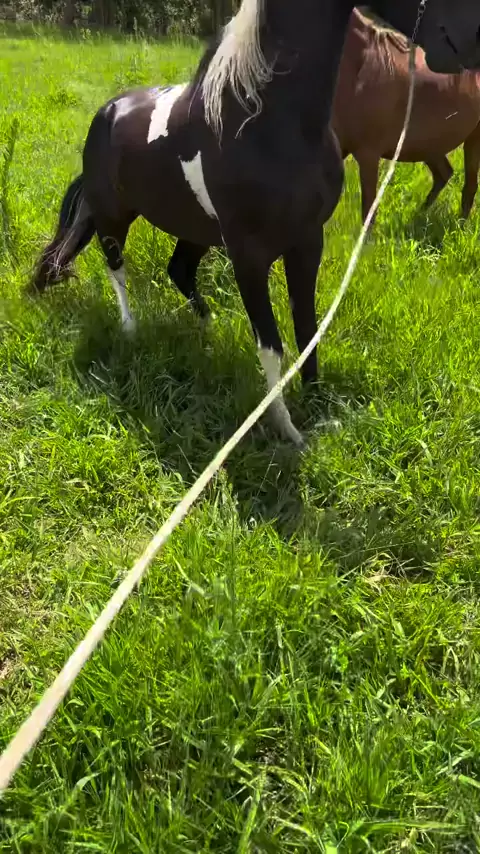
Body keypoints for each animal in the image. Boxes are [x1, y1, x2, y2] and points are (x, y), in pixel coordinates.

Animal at [333, 8, 480, 226]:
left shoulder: (368, 153)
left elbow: (368, 211)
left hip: (472, 139)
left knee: (468, 187)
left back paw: (459, 227)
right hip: (430, 144)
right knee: (444, 173)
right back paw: (420, 216)